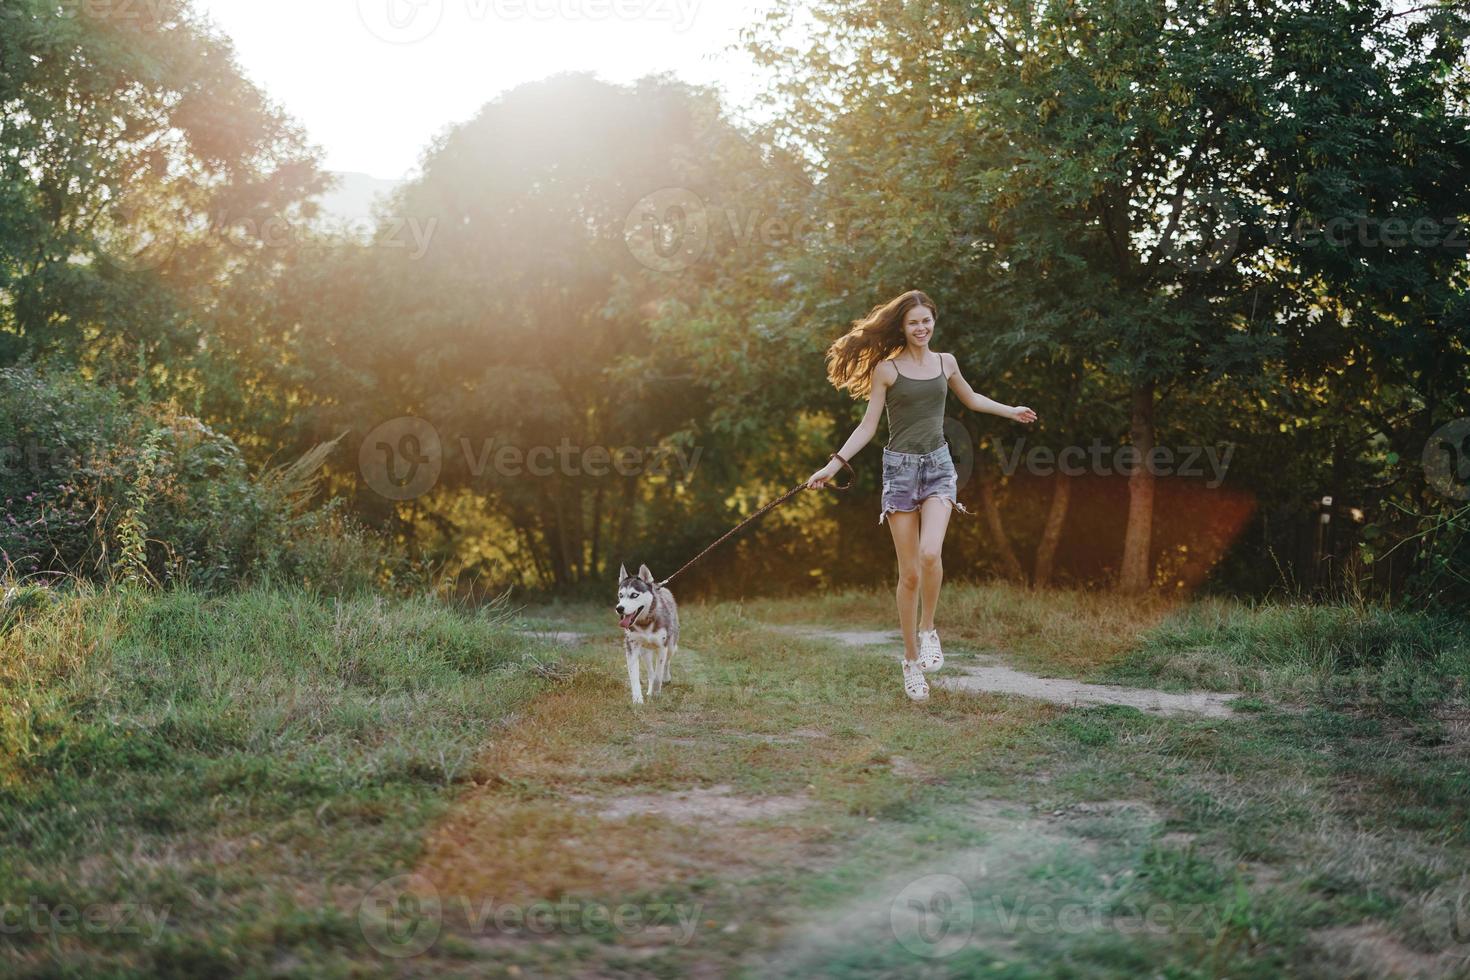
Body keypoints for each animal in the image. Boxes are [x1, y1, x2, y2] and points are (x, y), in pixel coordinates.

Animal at [611, 564, 679, 702]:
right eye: (620, 595)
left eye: (634, 595)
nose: (619, 608)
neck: (645, 623)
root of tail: (662, 588)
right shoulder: (631, 648)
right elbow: (635, 677)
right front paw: (637, 699)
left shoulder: (662, 648)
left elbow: (658, 675)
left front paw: (656, 693)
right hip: (644, 651)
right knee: (650, 673)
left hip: (671, 646)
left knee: (666, 663)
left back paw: (666, 678)